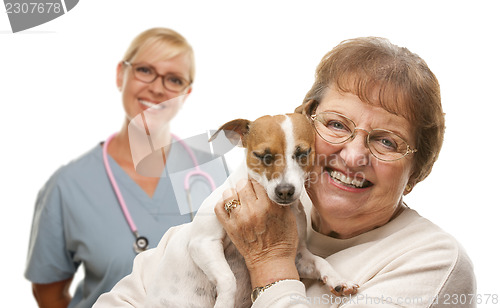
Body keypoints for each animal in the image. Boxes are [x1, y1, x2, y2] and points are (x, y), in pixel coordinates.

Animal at [146, 113, 358, 308]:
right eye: (263, 156)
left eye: (302, 153)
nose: (285, 191)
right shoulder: (203, 243)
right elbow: (228, 279)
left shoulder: (298, 257)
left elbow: (320, 261)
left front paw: (338, 279)